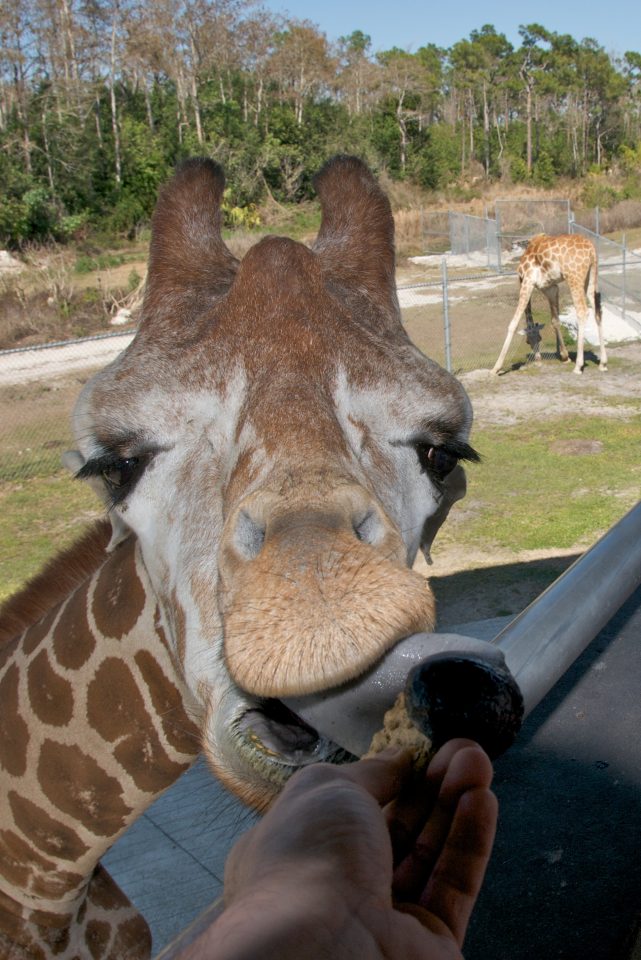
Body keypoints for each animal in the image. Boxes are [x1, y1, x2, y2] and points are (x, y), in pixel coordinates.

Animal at [490, 234, 604, 376]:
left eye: (530, 341)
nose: (538, 358)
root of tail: (591, 249)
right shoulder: (550, 288)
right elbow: (555, 321)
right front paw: (565, 356)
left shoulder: (528, 281)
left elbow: (513, 324)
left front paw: (496, 368)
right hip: (591, 275)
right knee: (598, 310)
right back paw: (603, 363)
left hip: (574, 276)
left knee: (582, 311)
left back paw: (578, 366)